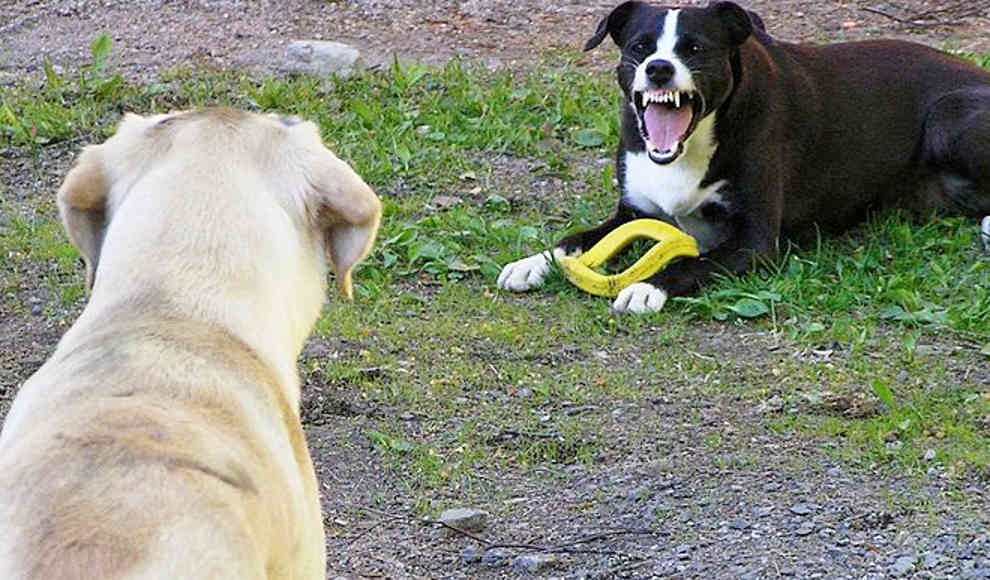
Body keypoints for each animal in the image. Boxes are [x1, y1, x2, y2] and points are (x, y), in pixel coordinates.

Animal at [500, 1, 990, 312]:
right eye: (640, 46)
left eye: (694, 49)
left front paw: (647, 287)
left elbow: (693, 261)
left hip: (948, 117)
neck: (690, 148)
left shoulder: (754, 241)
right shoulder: (632, 212)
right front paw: (532, 263)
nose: (658, 68)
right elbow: (573, 240)